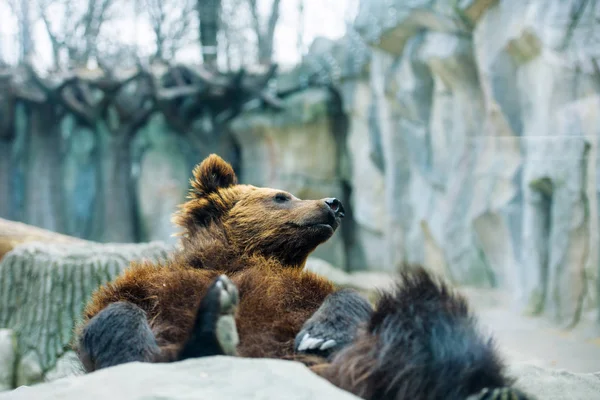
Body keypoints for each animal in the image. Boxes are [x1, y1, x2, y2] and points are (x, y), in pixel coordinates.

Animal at [74, 154, 528, 400]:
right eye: (281, 195)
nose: (334, 203)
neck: (240, 259)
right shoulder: (157, 286)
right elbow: (115, 315)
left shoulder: (298, 291)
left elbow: (347, 297)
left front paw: (321, 334)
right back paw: (212, 330)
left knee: (426, 310)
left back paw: (491, 389)